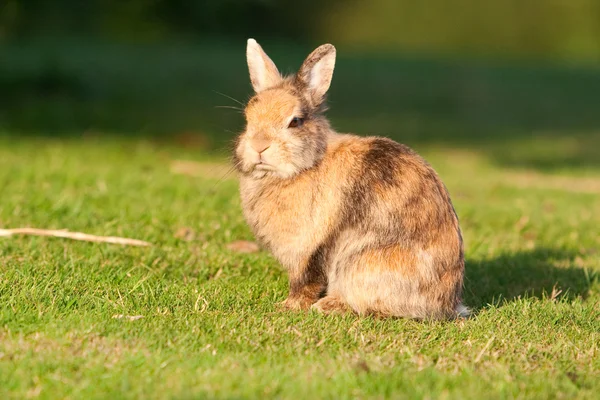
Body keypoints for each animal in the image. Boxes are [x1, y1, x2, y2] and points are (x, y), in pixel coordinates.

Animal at [234, 39, 468, 320]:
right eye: (247, 117)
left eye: (295, 121)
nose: (259, 146)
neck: (307, 165)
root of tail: (447, 304)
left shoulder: (308, 251)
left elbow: (305, 282)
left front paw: (288, 307)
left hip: (359, 263)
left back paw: (329, 306)